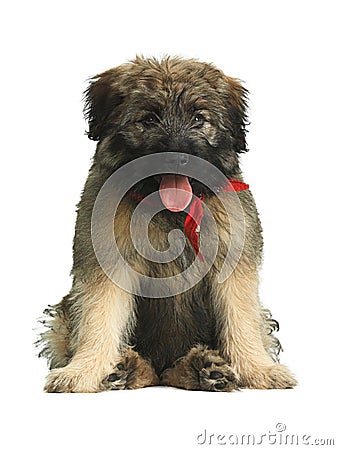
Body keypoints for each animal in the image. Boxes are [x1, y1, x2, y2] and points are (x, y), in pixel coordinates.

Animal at [39, 57, 296, 394]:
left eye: (199, 118)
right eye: (149, 118)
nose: (178, 158)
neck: (169, 210)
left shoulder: (234, 260)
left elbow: (241, 317)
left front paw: (258, 370)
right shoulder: (105, 260)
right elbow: (98, 316)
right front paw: (83, 371)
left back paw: (204, 369)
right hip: (65, 313)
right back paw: (126, 368)